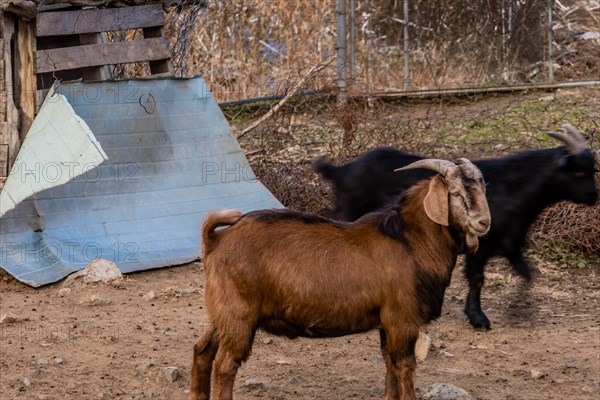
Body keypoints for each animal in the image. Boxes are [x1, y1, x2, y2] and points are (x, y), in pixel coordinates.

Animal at [191, 158, 492, 398]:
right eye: (455, 193)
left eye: (482, 189)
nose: (483, 223)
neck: (409, 240)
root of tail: (216, 240)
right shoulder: (402, 320)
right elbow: (404, 367)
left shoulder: (386, 322)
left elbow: (389, 363)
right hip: (239, 315)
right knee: (225, 365)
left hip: (222, 313)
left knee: (202, 350)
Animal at [316, 125, 596, 332]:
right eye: (578, 172)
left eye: (592, 168)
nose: (594, 197)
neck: (515, 186)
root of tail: (343, 170)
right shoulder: (481, 245)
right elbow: (478, 279)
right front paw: (479, 318)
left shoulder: (510, 244)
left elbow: (527, 274)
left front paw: (521, 310)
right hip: (348, 214)